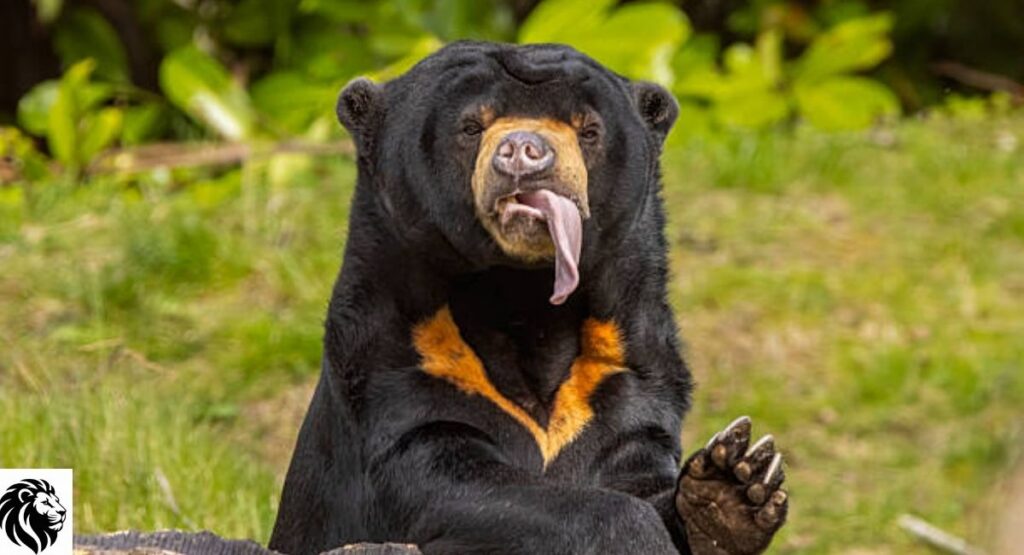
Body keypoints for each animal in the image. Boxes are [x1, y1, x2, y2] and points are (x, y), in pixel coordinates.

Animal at [269, 41, 788, 555]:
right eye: (471, 126)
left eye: (588, 130)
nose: (526, 153)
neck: (523, 297)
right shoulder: (396, 360)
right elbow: (445, 473)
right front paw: (638, 533)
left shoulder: (627, 371)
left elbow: (638, 467)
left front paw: (733, 482)